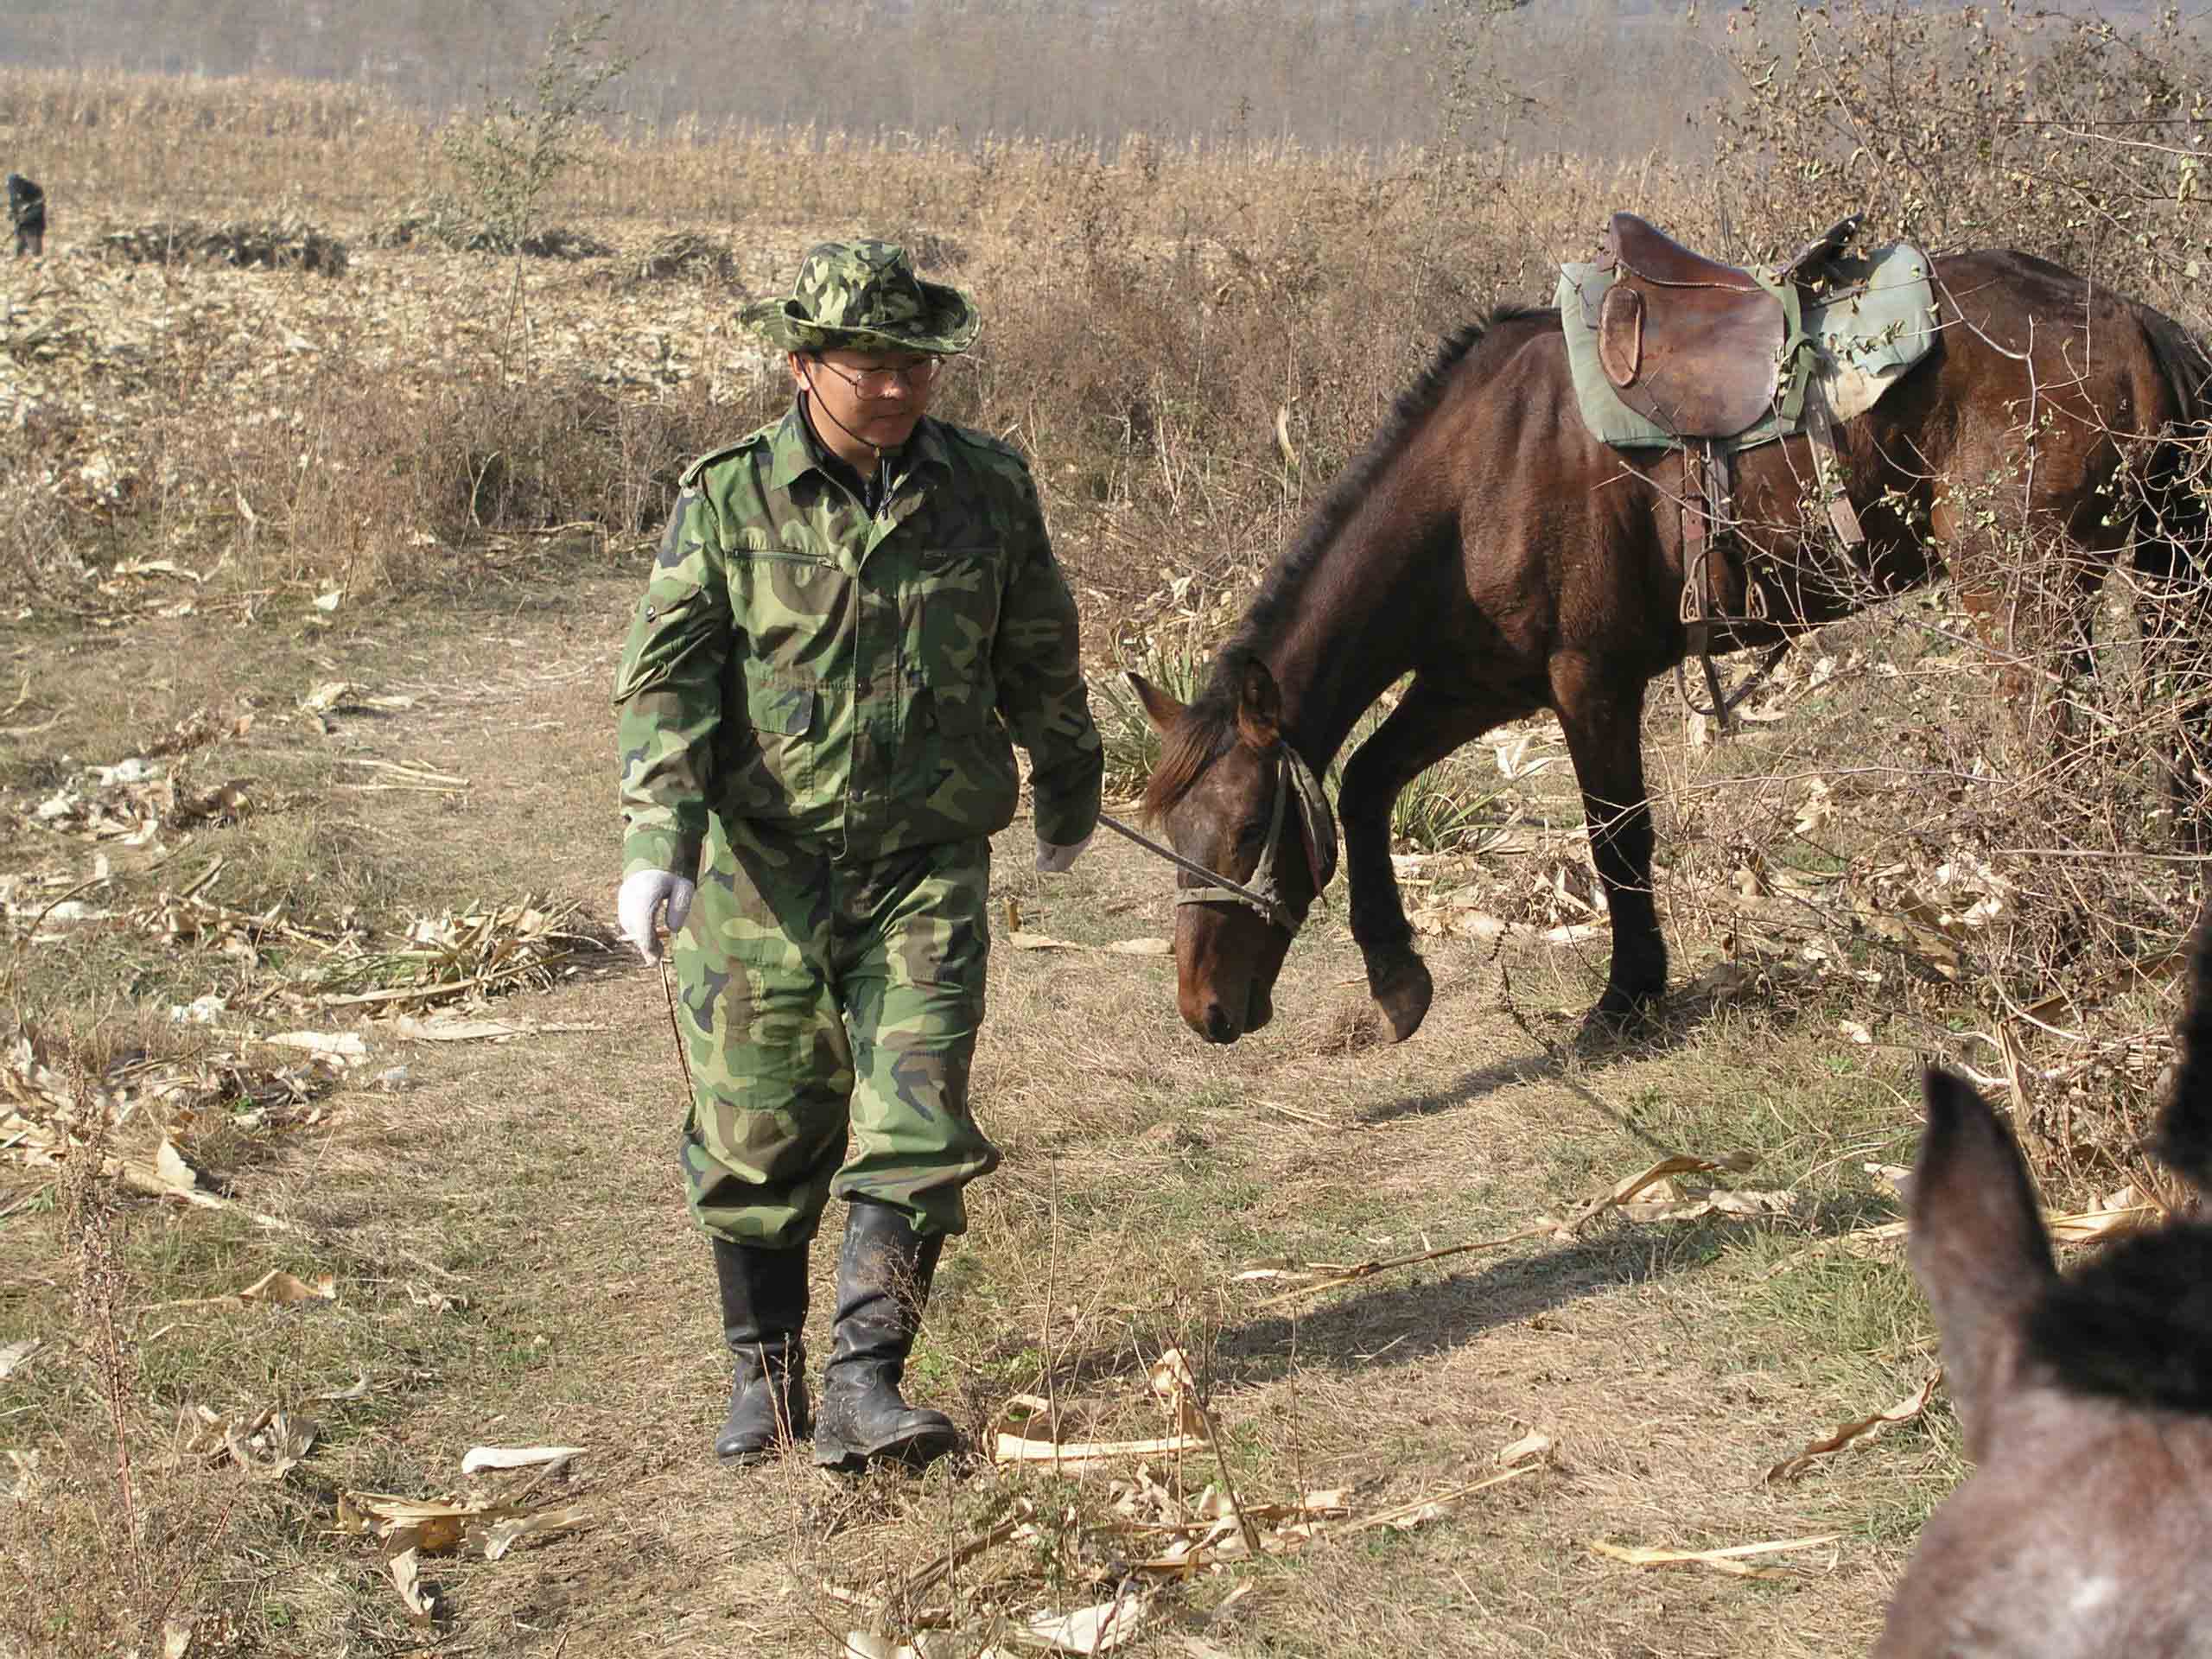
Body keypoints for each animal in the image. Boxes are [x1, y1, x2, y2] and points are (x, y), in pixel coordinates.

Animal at [1132, 250, 2202, 1039]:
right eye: (1176, 836)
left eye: (1245, 831)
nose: (1203, 1010)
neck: (1474, 478)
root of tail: (2129, 319)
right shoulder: (1478, 685)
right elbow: (1364, 783)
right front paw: (1397, 975)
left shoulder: (1588, 681)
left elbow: (1617, 837)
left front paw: (1627, 995)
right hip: (2159, 572)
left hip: (2026, 599)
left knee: (2059, 760)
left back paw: (2055, 937)